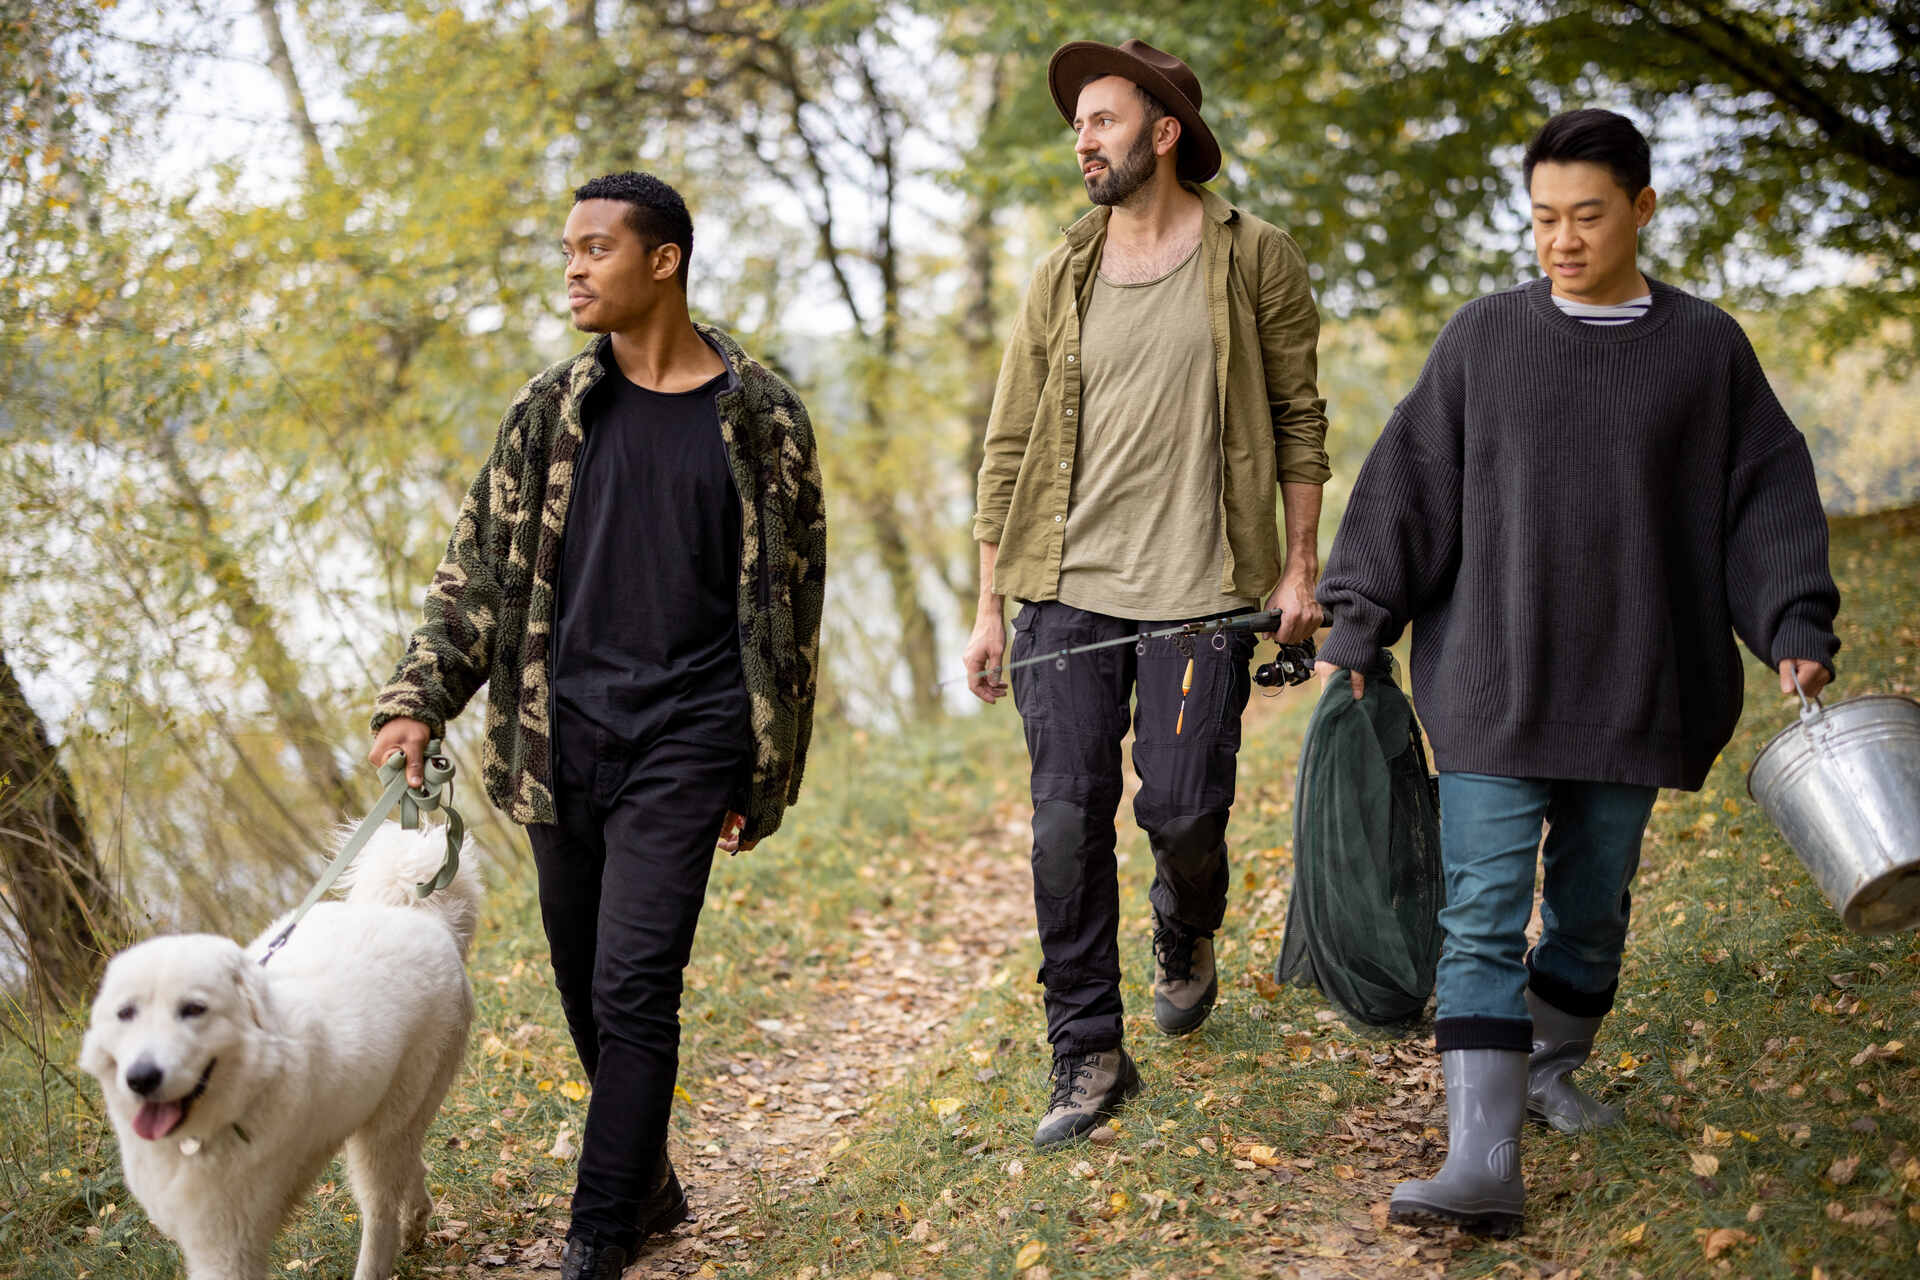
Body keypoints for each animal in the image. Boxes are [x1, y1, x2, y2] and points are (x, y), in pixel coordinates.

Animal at [80, 821, 487, 1280]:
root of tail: (415, 914)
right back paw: (416, 1222)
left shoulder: (229, 1245)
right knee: (409, 1164)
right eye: (126, 1013)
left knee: (381, 1208)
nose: (142, 1077)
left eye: (193, 1009)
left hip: (389, 1121)